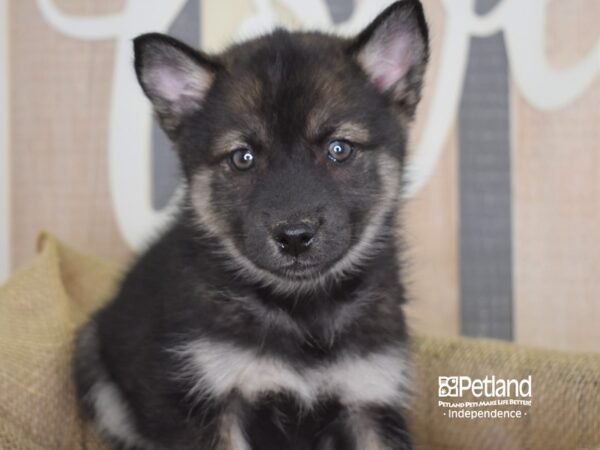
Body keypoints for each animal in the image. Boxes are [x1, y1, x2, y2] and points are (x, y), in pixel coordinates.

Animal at [75, 1, 428, 448]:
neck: (302, 311)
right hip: (92, 355)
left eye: (339, 149)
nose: (294, 237)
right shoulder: (210, 402)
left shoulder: (370, 399)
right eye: (243, 157)